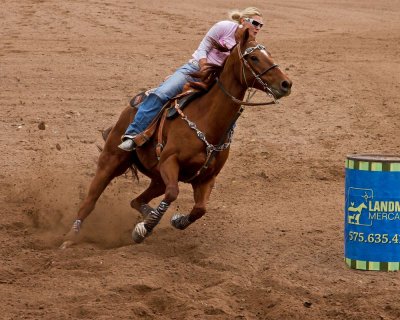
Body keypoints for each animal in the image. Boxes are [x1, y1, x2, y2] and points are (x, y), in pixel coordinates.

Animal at [61, 28, 292, 248]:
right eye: (254, 57)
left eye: (269, 54)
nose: (286, 84)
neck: (207, 122)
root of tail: (131, 107)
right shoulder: (169, 162)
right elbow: (173, 193)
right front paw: (143, 229)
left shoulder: (207, 177)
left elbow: (200, 209)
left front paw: (176, 220)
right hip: (111, 161)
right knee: (90, 201)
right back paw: (70, 238)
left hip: (156, 178)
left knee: (136, 200)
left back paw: (146, 212)